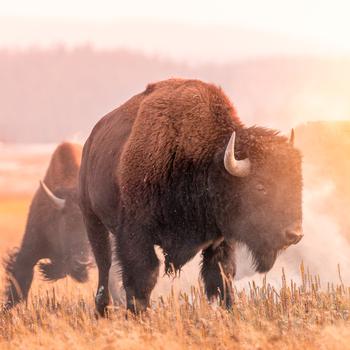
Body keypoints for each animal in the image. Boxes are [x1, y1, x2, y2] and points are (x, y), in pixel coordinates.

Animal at [80, 78, 304, 314]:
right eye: (260, 186)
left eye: (297, 183)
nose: (294, 234)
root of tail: (90, 142)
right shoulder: (136, 233)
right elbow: (144, 276)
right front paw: (140, 314)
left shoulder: (220, 240)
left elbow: (221, 276)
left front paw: (228, 311)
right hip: (91, 218)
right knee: (104, 263)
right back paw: (102, 308)